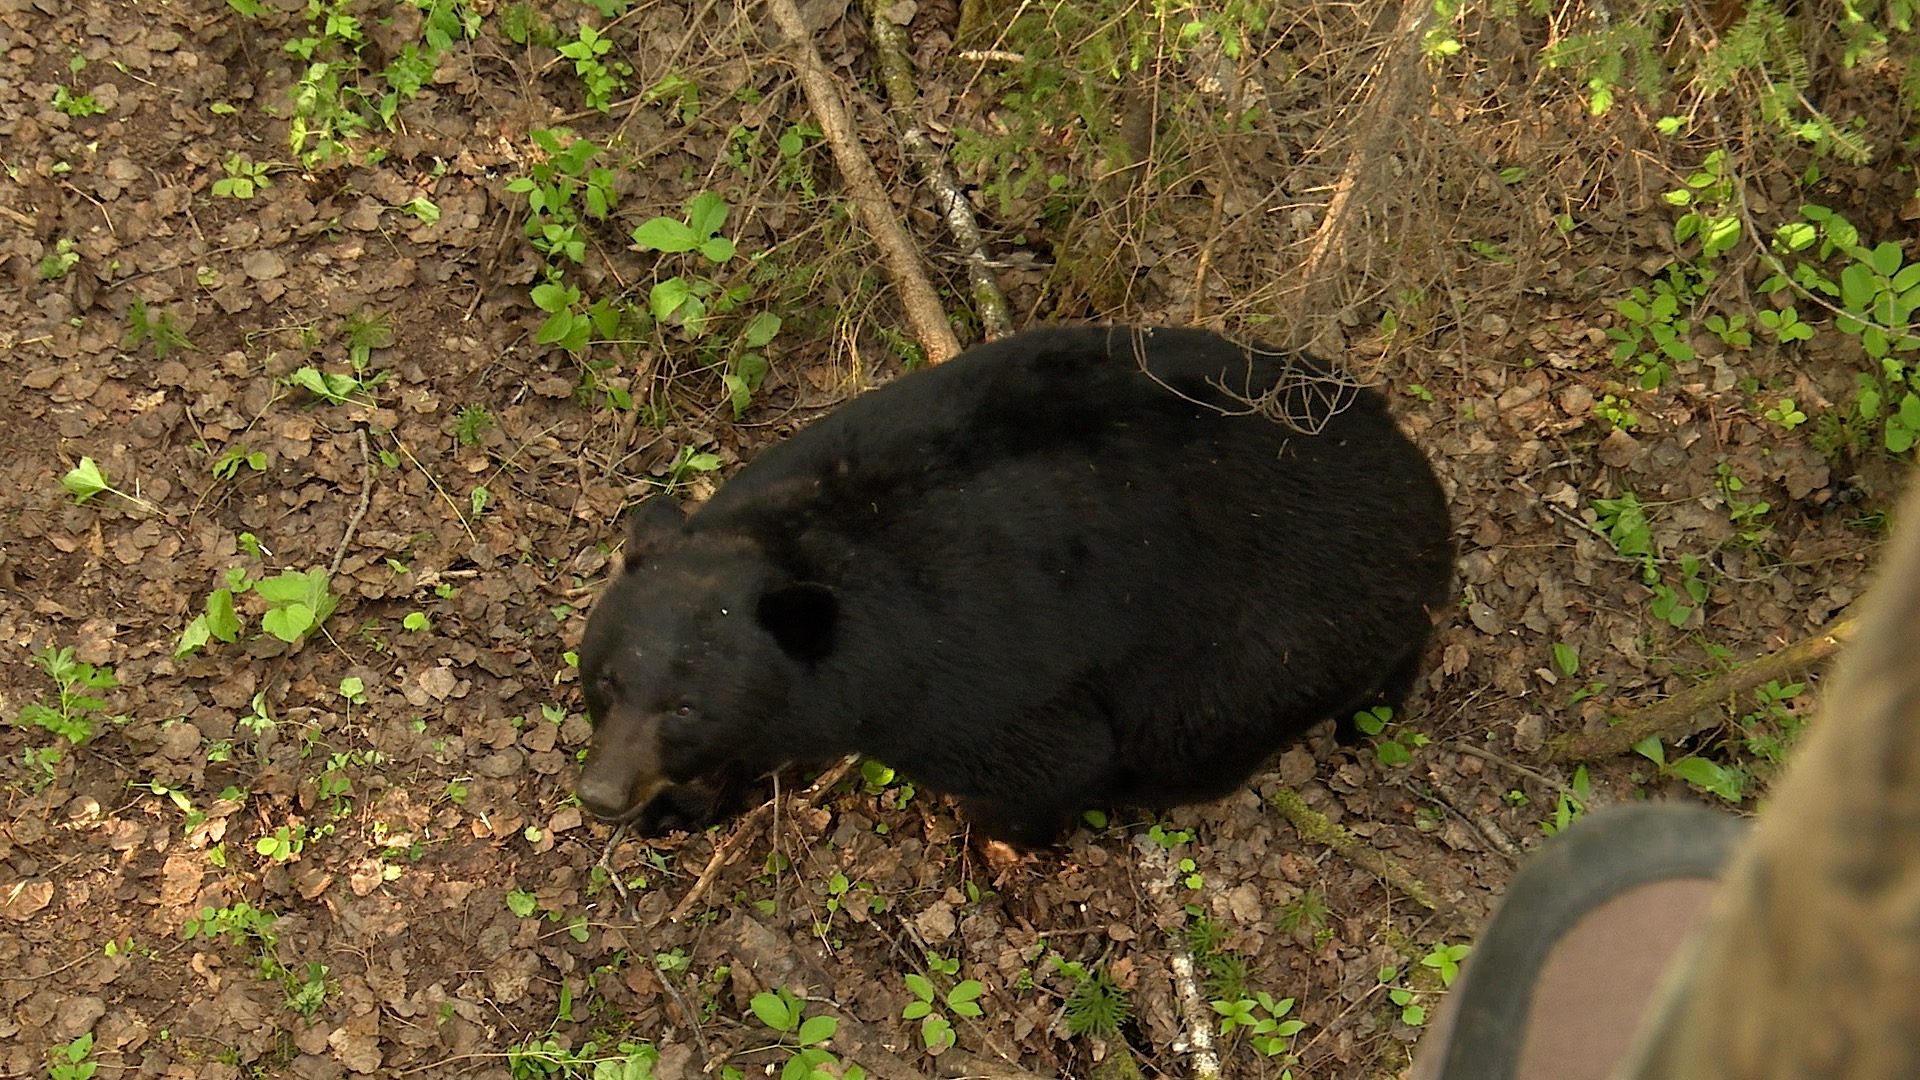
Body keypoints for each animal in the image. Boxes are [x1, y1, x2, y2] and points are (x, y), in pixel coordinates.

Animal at [576, 322, 1443, 845]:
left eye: (685, 706)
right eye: (606, 680)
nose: (603, 794)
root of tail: (1427, 492)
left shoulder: (960, 687)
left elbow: (1046, 765)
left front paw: (1003, 834)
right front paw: (683, 802)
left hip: (1270, 646)